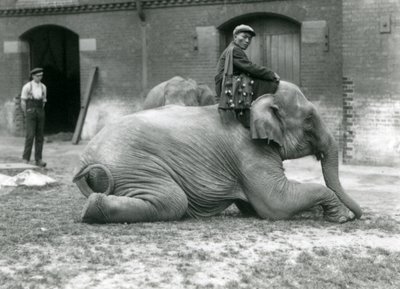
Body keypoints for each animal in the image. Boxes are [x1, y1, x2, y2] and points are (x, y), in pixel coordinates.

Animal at [72, 81, 362, 223]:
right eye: (310, 119)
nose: (361, 215)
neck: (254, 100)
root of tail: (85, 158)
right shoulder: (249, 151)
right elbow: (276, 202)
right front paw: (342, 218)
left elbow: (255, 206)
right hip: (134, 165)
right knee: (173, 200)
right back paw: (91, 209)